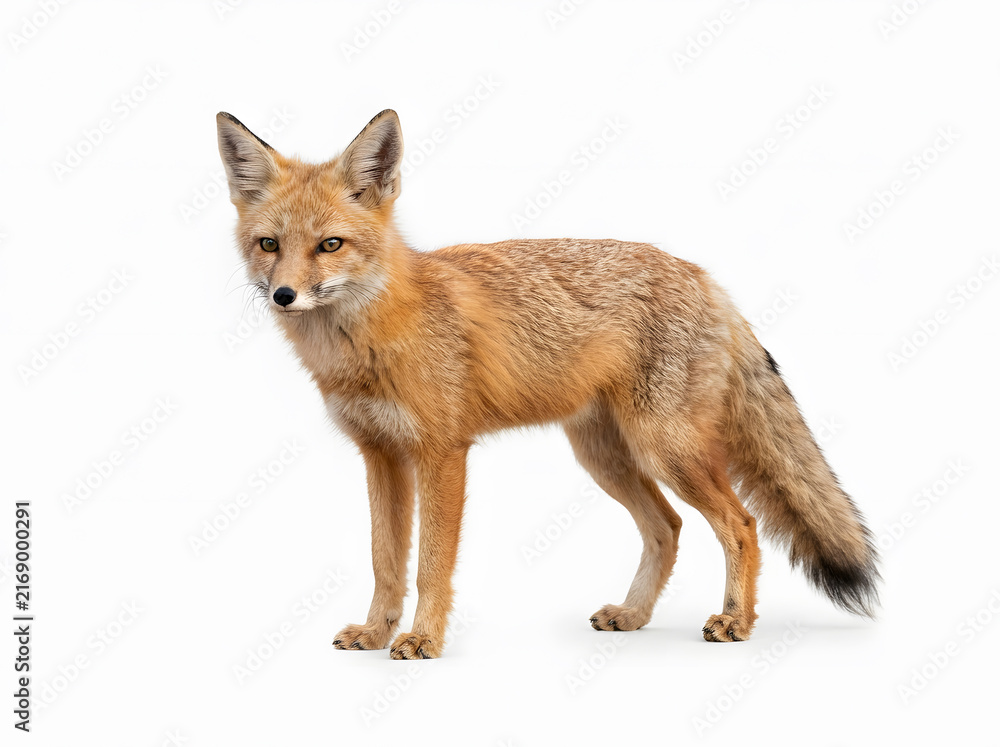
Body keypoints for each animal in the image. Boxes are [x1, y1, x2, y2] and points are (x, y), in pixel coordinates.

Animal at [216, 109, 880, 659]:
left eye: (330, 244)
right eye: (269, 245)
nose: (283, 295)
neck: (371, 340)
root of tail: (705, 277)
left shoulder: (441, 453)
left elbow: (430, 564)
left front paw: (423, 639)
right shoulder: (380, 454)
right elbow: (386, 562)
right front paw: (377, 632)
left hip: (665, 449)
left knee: (739, 525)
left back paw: (735, 620)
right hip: (605, 458)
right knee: (668, 527)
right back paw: (634, 614)